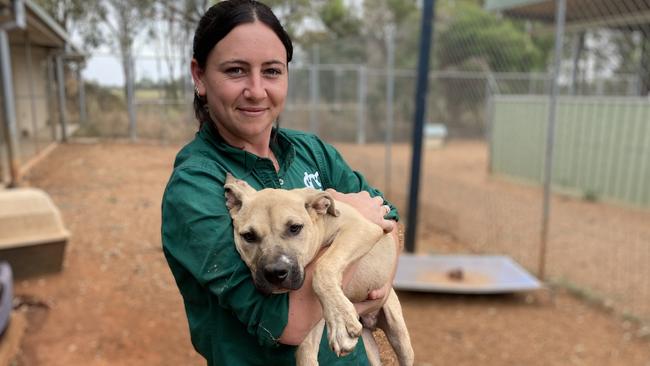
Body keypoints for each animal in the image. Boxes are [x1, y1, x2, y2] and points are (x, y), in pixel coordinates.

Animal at [223, 174, 412, 366]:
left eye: (295, 228)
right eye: (248, 236)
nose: (275, 273)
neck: (321, 223)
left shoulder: (361, 228)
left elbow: (323, 266)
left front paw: (340, 320)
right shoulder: (312, 318)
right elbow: (305, 351)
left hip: (398, 333)